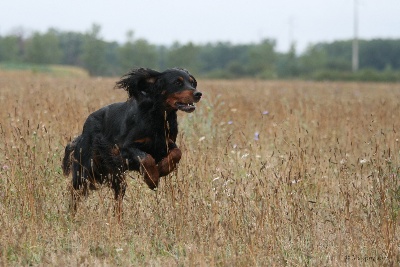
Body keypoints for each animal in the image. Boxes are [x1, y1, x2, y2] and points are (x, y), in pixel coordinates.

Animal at [62, 67, 202, 218]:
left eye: (192, 83)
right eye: (177, 82)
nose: (198, 94)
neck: (157, 116)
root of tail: (83, 133)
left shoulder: (165, 144)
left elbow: (177, 153)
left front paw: (162, 169)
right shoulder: (122, 149)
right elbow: (145, 157)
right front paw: (152, 178)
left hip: (115, 176)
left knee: (117, 201)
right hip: (86, 169)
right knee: (75, 192)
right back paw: (70, 216)